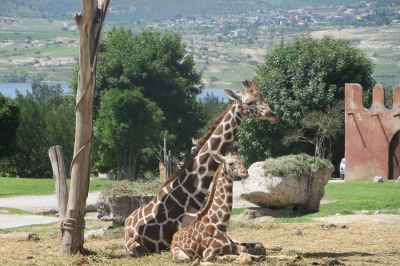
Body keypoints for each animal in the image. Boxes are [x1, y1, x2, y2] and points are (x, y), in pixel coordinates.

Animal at [122, 79, 278, 256]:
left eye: (262, 97)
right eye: (249, 102)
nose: (273, 115)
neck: (194, 190)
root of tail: (127, 221)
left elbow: (257, 245)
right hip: (135, 247)